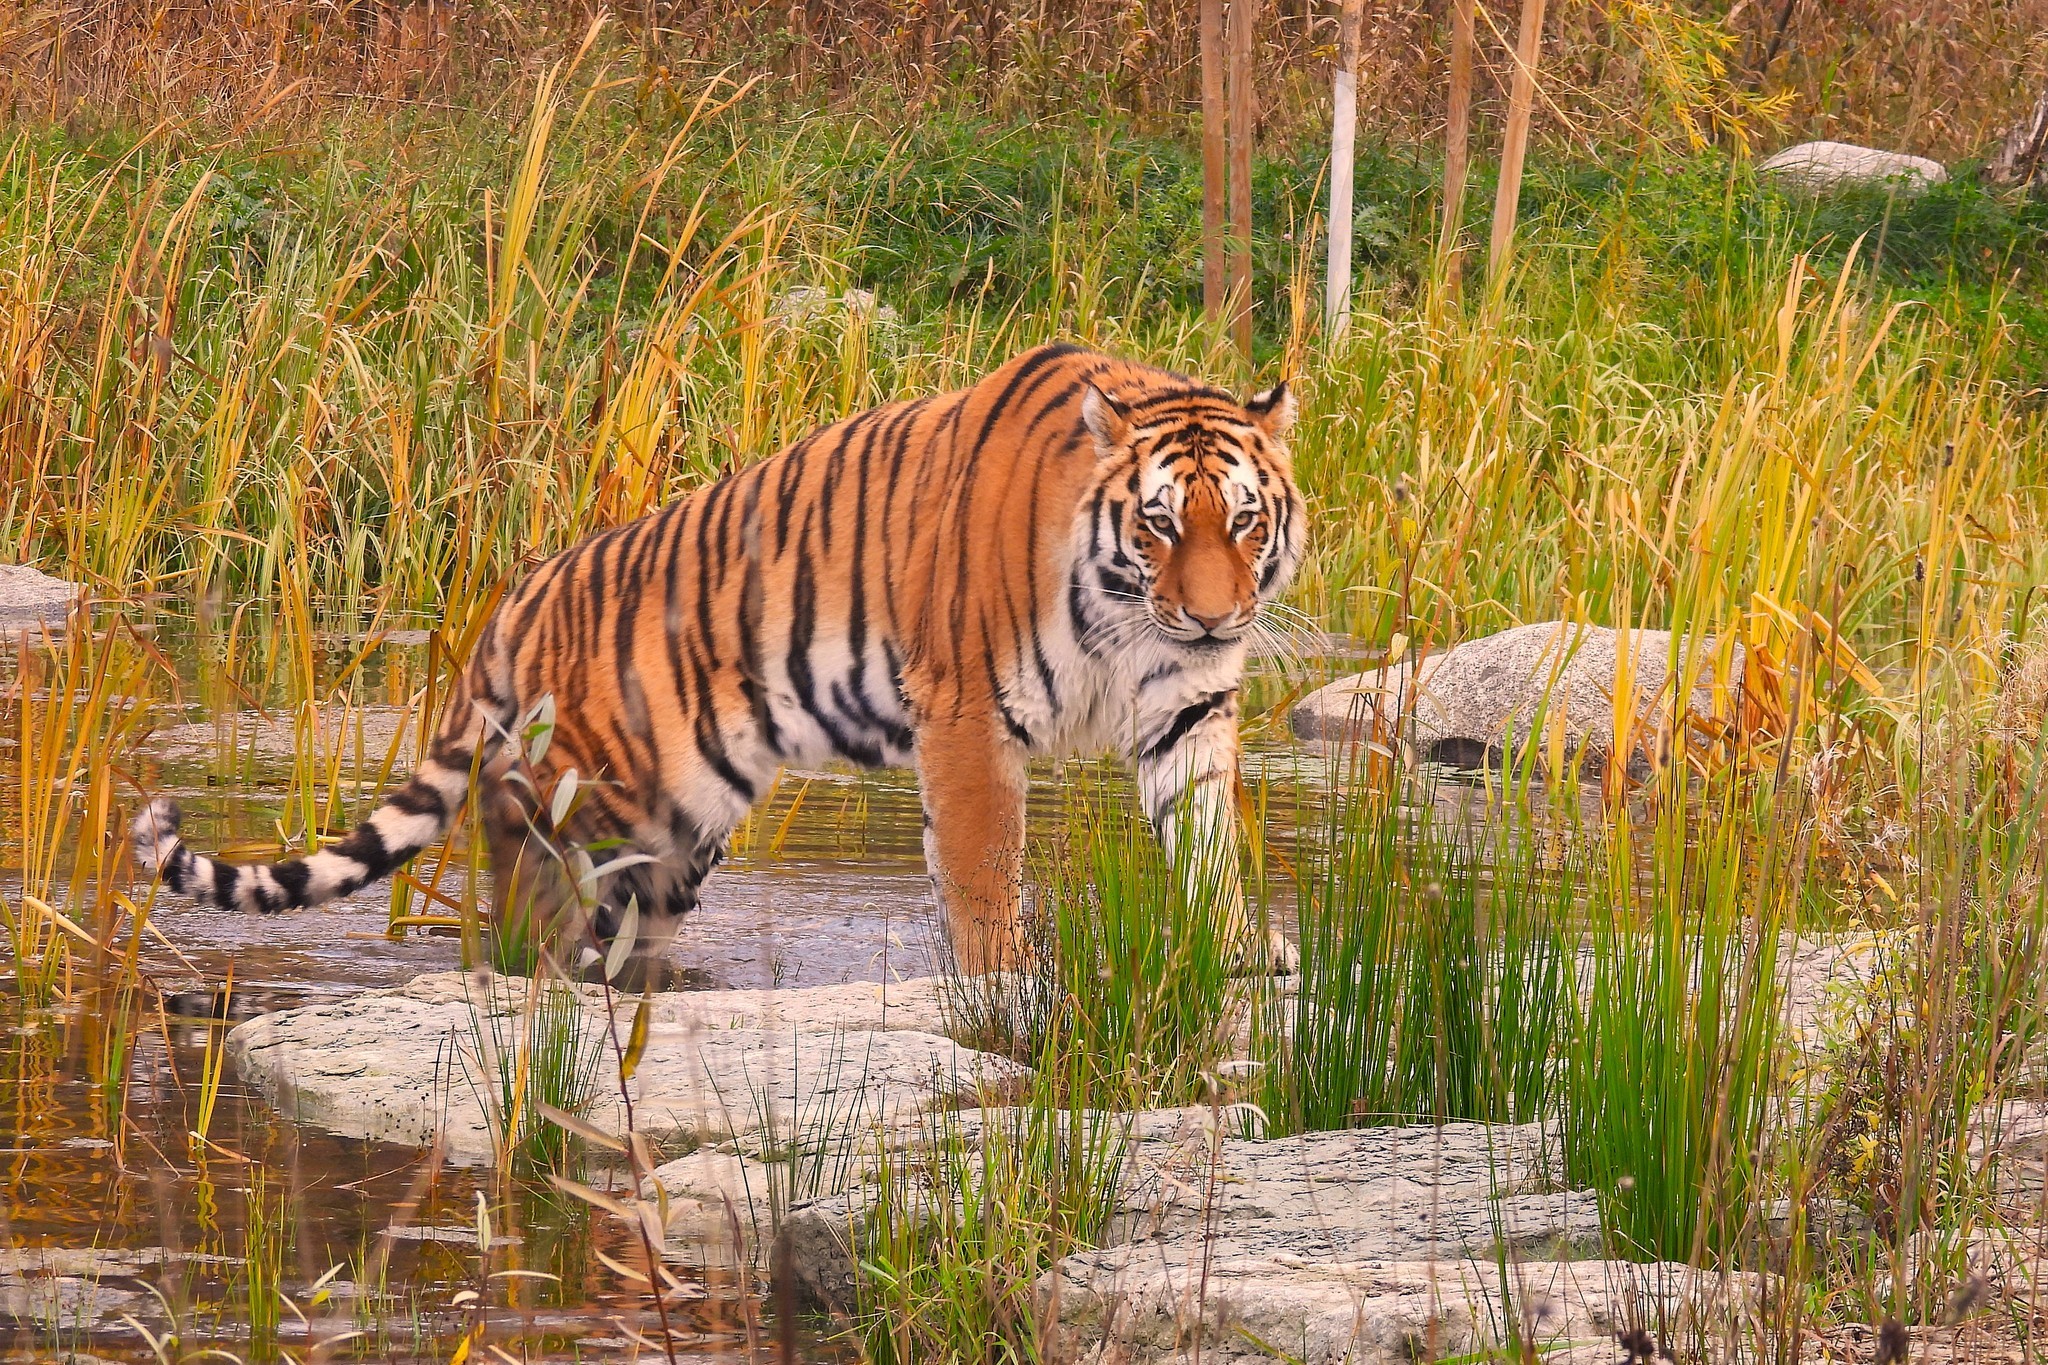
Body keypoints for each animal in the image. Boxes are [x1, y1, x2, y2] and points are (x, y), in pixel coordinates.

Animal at [132, 347, 1310, 978]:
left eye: (1244, 522)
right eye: (1159, 524)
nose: (1215, 618)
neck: (1127, 616)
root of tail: (521, 593)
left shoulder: (1185, 706)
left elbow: (1207, 837)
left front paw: (1241, 945)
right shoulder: (968, 709)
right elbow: (985, 863)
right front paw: (1004, 977)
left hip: (679, 828)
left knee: (623, 920)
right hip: (594, 791)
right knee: (517, 860)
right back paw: (529, 966)